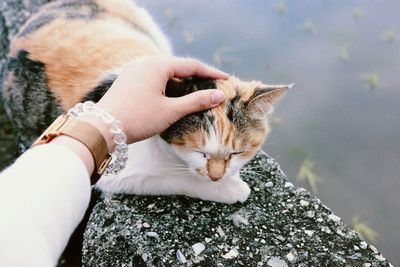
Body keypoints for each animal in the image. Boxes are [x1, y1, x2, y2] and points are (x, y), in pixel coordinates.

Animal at [0, 0, 290, 204]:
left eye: (236, 153)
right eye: (200, 152)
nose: (216, 176)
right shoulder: (117, 173)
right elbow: (174, 179)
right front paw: (231, 189)